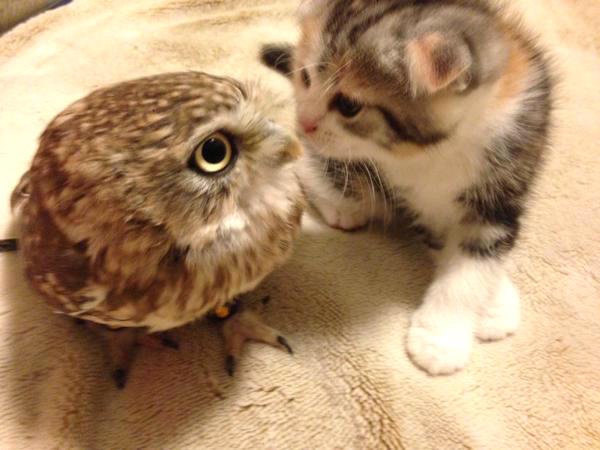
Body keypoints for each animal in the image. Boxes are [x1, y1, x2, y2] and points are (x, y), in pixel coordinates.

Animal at [262, 0, 552, 376]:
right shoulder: (419, 199)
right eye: (306, 77)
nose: (306, 120)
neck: (445, 147)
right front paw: (441, 340)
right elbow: (447, 244)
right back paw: (340, 203)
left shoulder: (509, 178)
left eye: (349, 106)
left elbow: (478, 258)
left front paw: (490, 303)